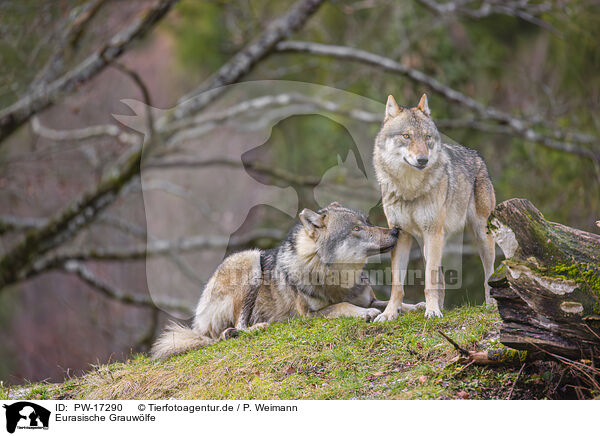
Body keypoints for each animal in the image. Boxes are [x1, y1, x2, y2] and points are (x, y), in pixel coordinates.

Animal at [150, 203, 422, 360]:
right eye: (356, 229)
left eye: (367, 222)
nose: (396, 230)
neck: (337, 278)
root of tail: (198, 320)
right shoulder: (309, 315)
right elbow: (343, 306)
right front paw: (364, 313)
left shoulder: (371, 298)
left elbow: (391, 303)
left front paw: (416, 307)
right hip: (251, 258)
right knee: (234, 328)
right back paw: (252, 328)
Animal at [372, 94, 494, 320]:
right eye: (406, 136)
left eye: (427, 137)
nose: (423, 160)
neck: (410, 189)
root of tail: (477, 155)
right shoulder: (400, 234)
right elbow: (397, 285)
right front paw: (390, 313)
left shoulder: (432, 231)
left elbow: (429, 281)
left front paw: (432, 311)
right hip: (430, 245)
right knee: (442, 280)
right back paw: (439, 306)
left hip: (480, 235)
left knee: (489, 274)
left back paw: (491, 304)